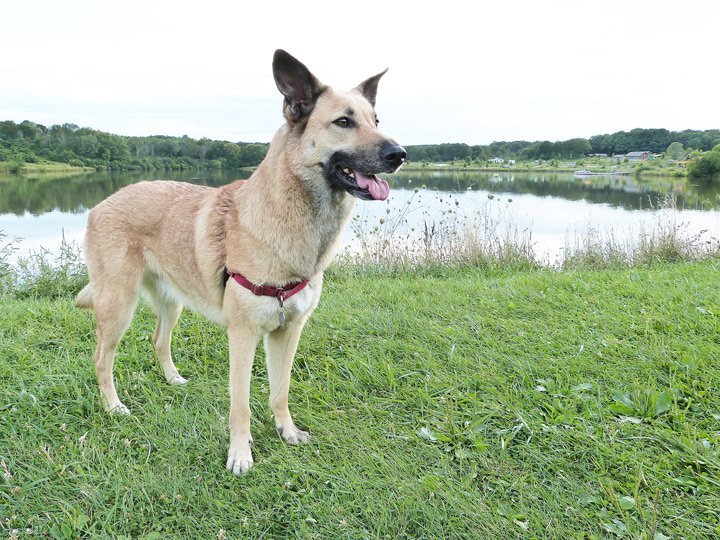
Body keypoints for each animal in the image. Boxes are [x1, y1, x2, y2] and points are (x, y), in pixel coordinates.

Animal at [76, 50, 408, 472]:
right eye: (344, 122)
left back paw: (173, 380)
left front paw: (287, 432)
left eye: (376, 121)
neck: (290, 220)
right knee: (102, 359)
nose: (399, 155)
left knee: (158, 340)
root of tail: (100, 204)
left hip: (171, 302)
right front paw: (239, 453)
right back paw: (114, 406)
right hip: (119, 306)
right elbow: (241, 405)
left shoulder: (288, 331)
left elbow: (280, 391)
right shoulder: (243, 336)